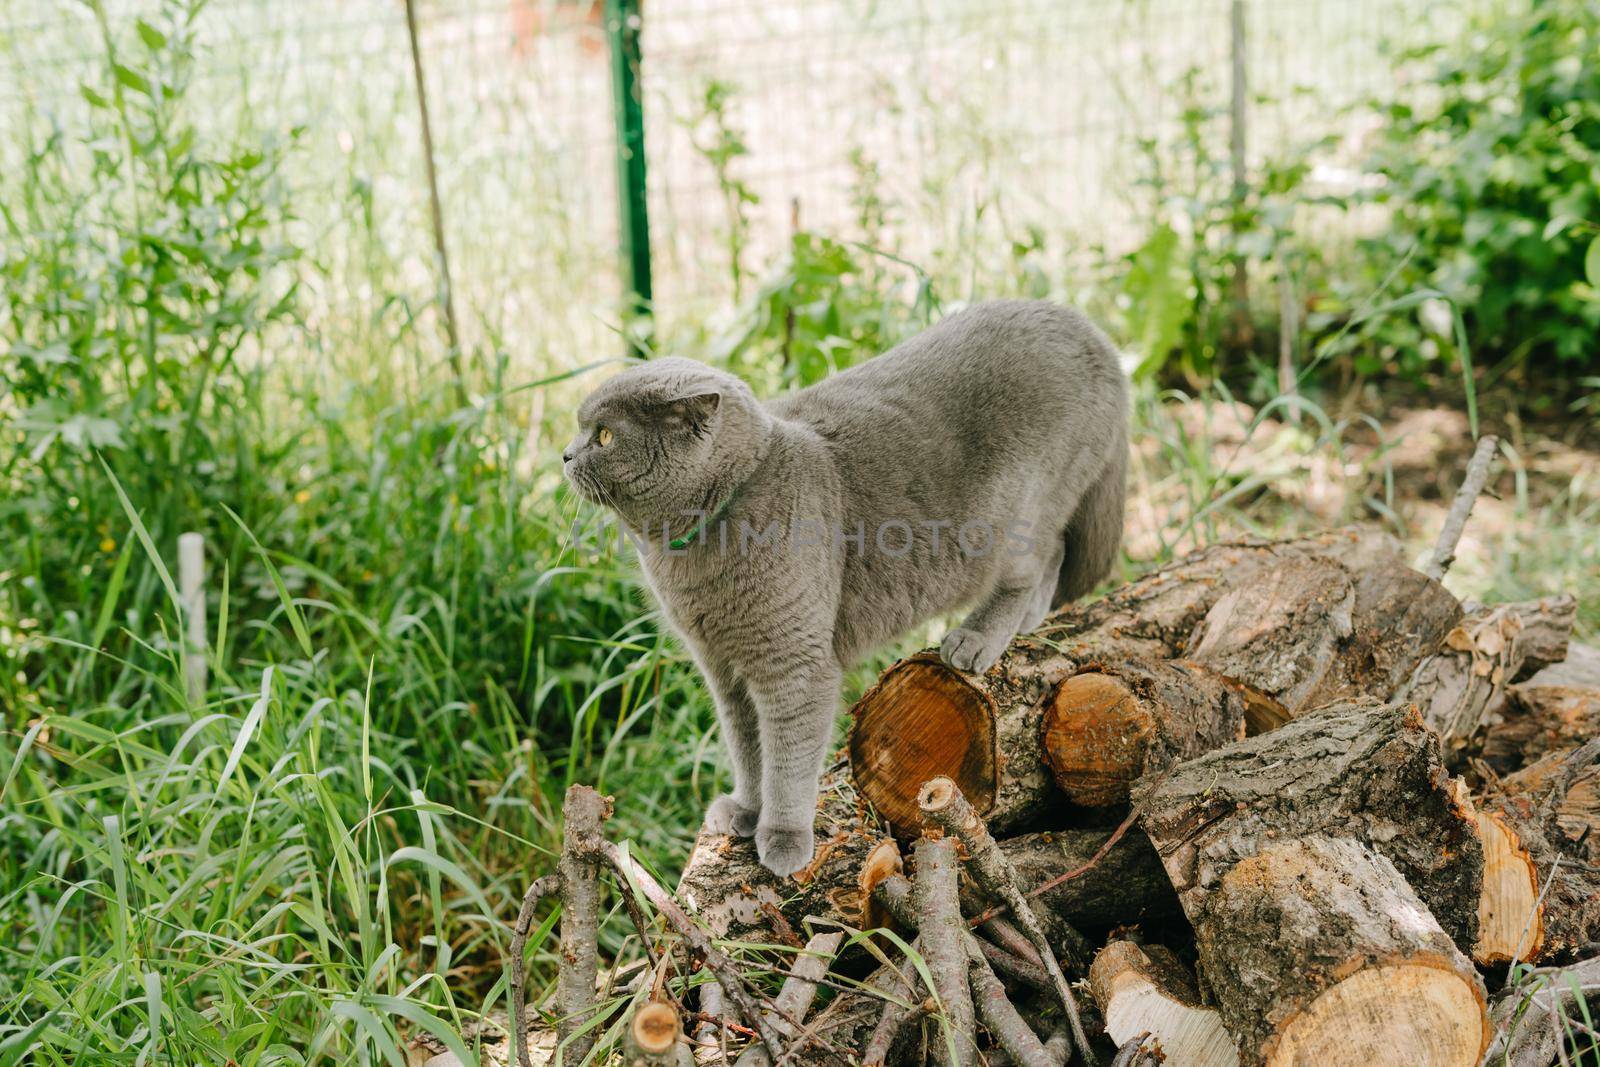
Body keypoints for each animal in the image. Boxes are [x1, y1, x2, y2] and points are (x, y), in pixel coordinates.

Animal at [563, 300, 1126, 876]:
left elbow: (787, 760)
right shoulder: (722, 669)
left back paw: (974, 640)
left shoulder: (794, 667)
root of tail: (1090, 331)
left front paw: (783, 837)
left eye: (603, 436)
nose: (564, 454)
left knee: (1036, 563)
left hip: (1020, 513)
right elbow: (747, 748)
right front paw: (745, 809)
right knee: (1053, 559)